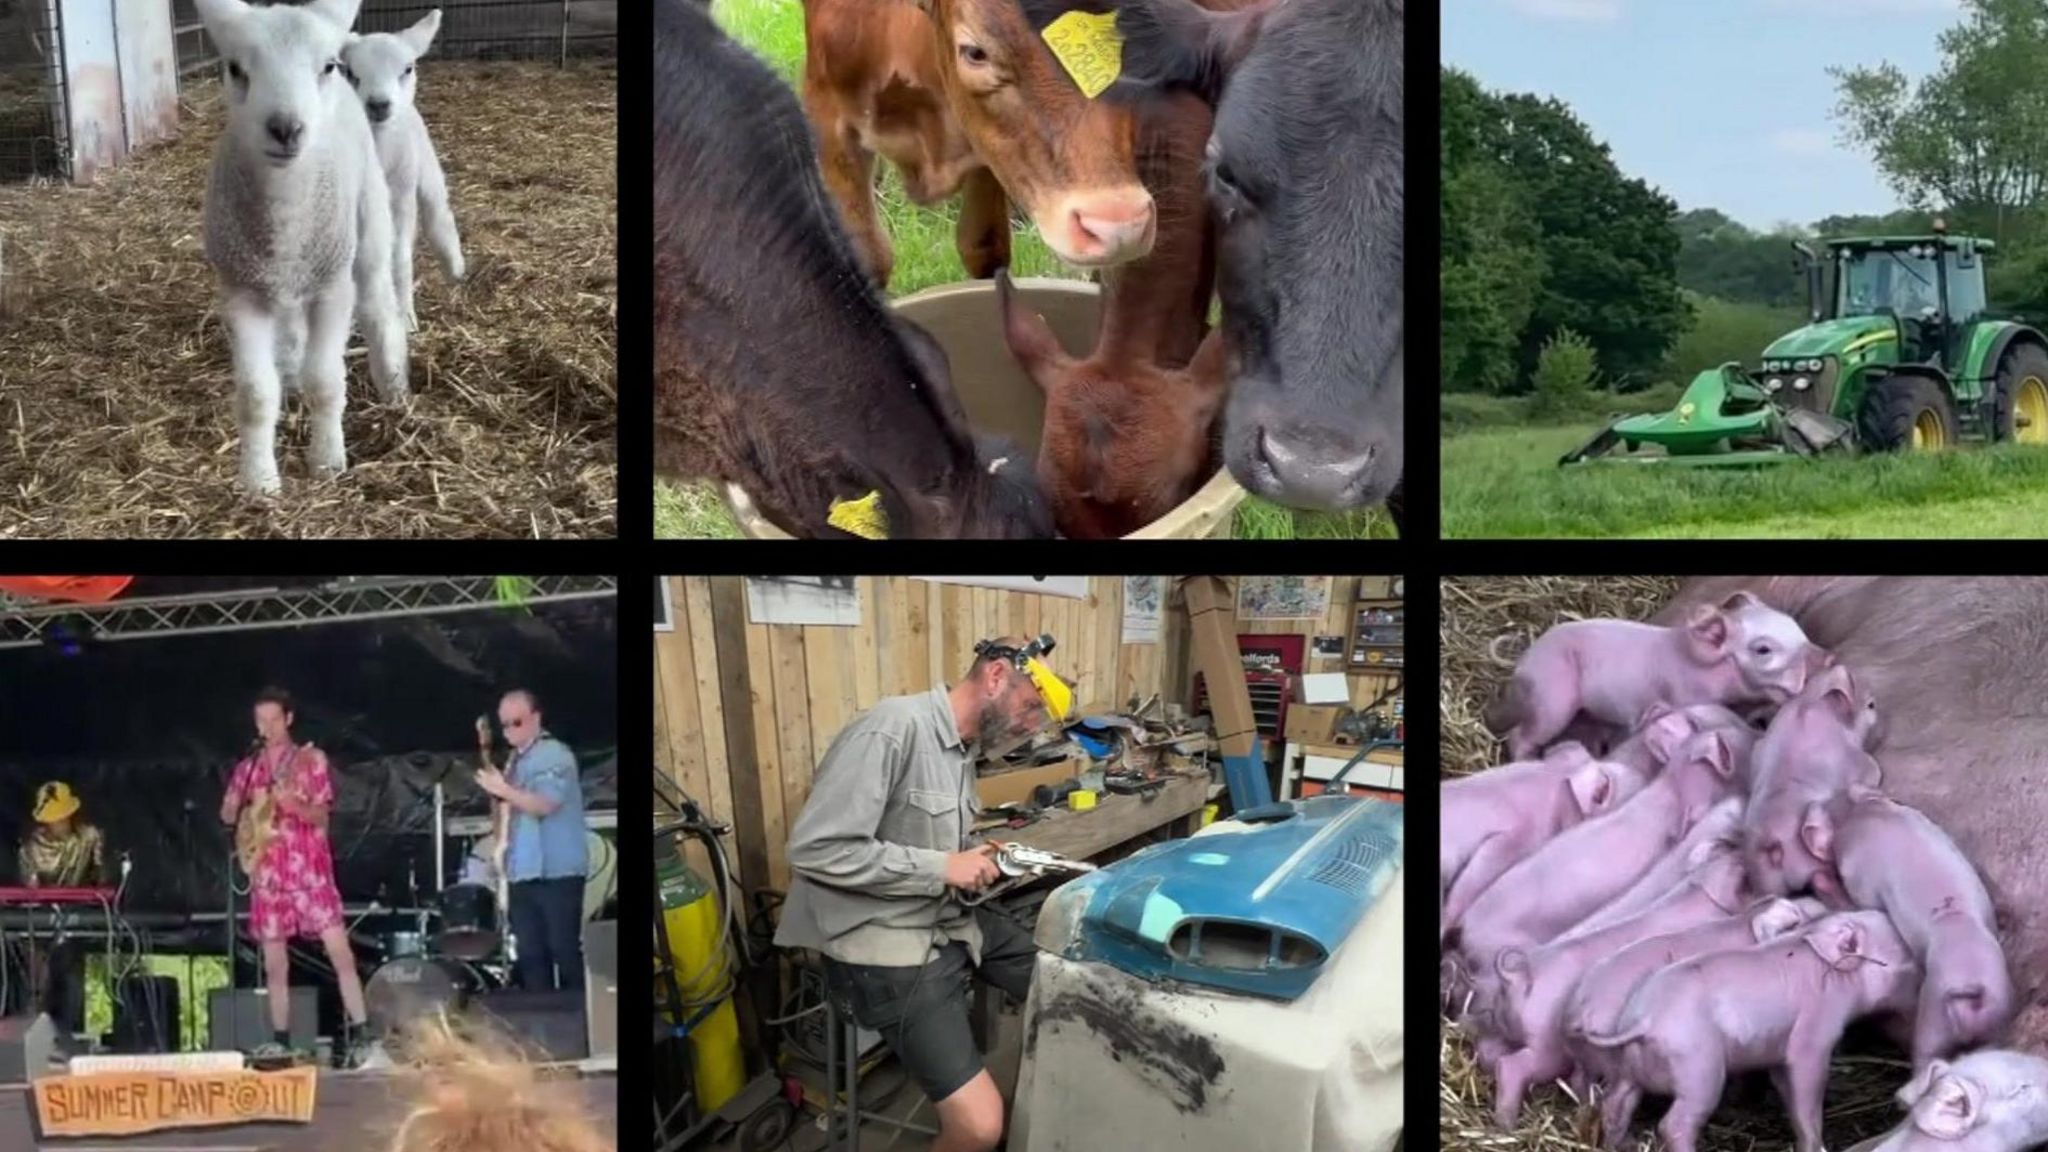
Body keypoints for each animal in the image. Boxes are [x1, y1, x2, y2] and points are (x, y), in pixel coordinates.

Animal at [196, 0, 407, 491]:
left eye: (327, 66)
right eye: (235, 68)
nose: (286, 128)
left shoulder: (333, 288)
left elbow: (326, 381)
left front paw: (327, 462)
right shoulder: (241, 292)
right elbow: (255, 395)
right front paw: (258, 482)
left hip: (368, 225)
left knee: (379, 308)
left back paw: (393, 387)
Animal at [342, 11, 466, 330]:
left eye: (408, 68)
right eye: (350, 72)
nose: (378, 104)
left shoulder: (402, 194)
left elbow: (399, 257)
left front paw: (406, 315)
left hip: (426, 167)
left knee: (439, 216)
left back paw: (455, 266)